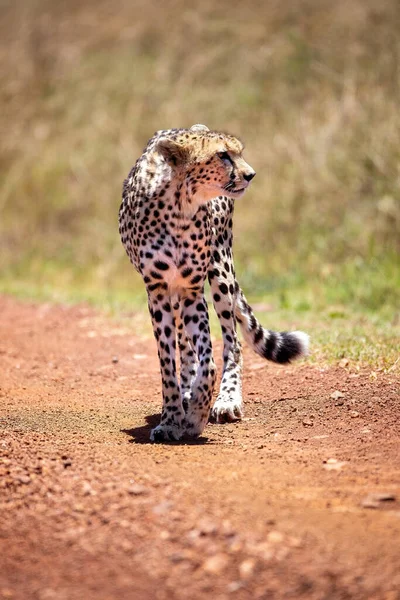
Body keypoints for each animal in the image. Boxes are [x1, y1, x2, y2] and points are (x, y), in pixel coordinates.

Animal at [119, 123, 310, 440]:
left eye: (239, 152)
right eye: (222, 155)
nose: (251, 174)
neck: (179, 206)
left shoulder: (193, 290)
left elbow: (208, 360)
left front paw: (197, 413)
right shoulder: (158, 290)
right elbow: (168, 363)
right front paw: (172, 418)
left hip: (221, 271)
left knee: (232, 341)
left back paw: (226, 399)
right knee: (184, 345)